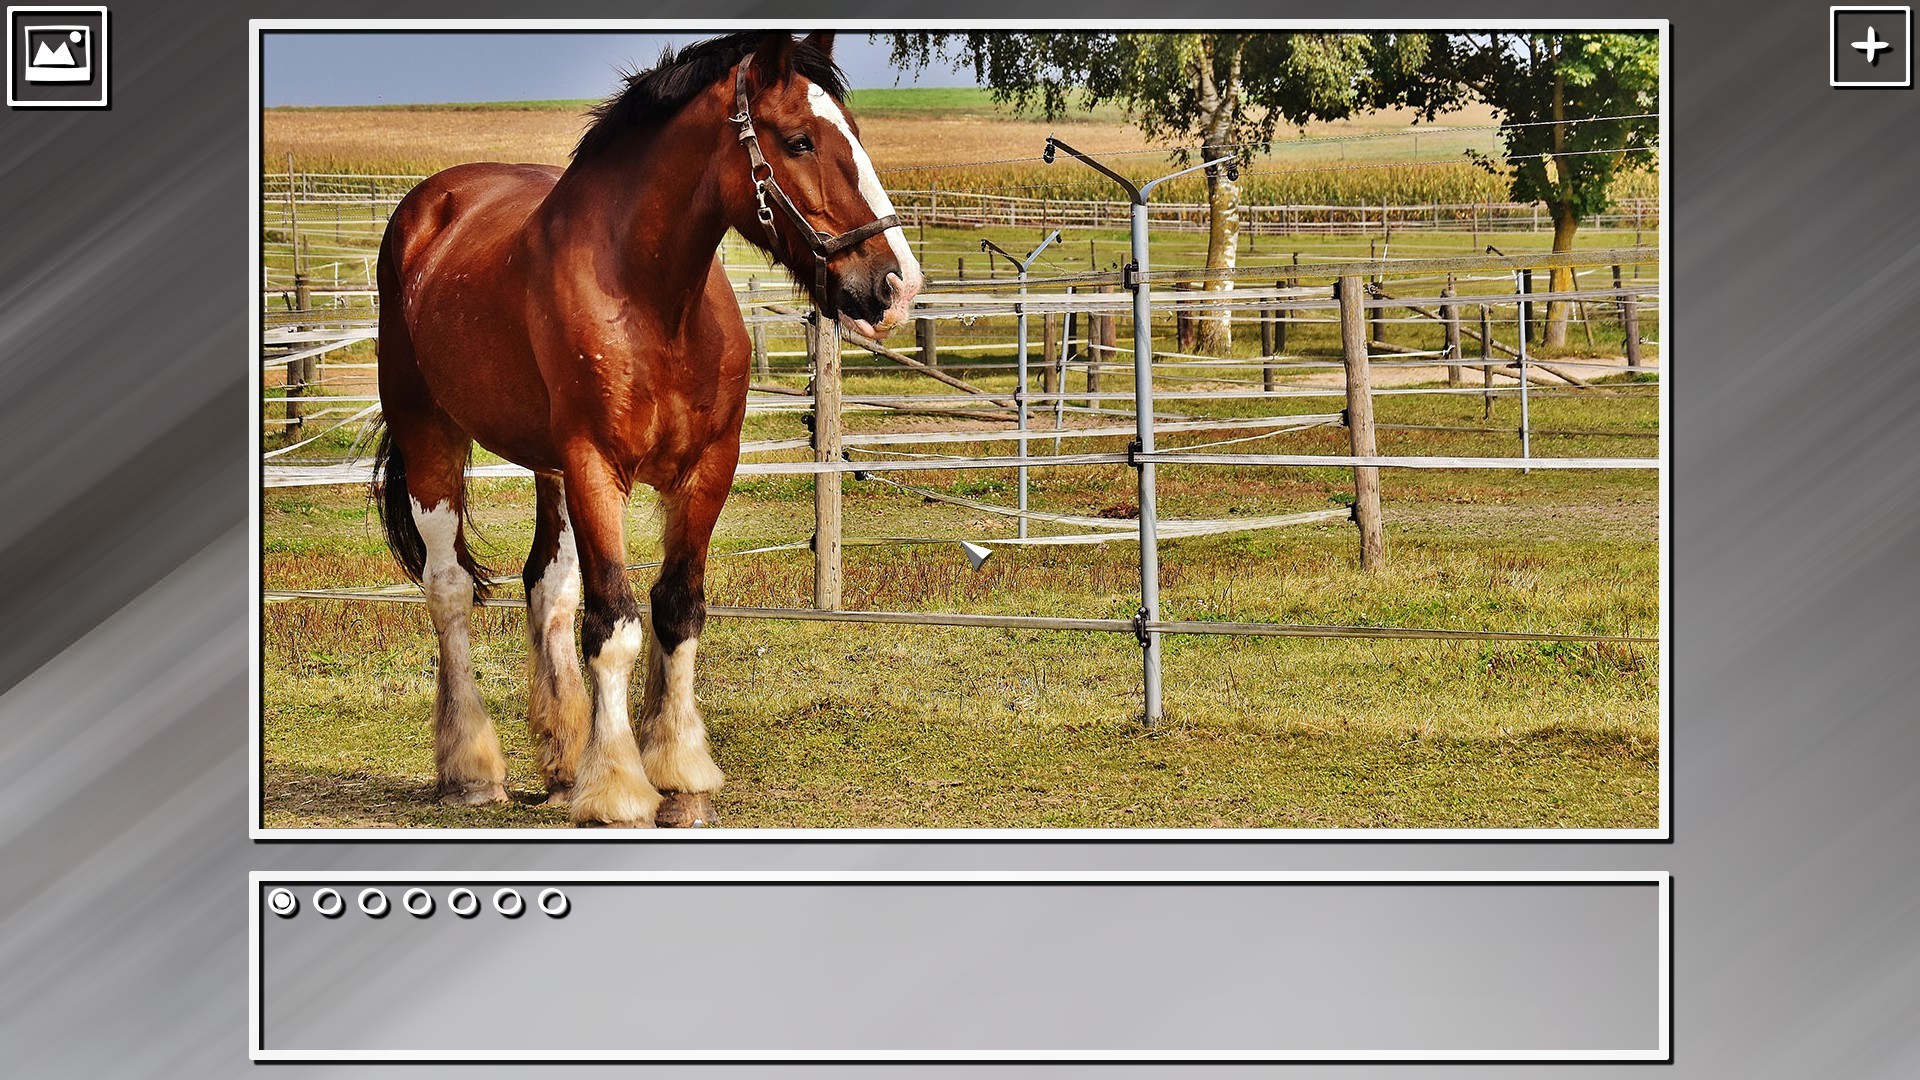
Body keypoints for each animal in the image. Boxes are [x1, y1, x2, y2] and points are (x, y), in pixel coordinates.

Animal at [369, 31, 922, 827]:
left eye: (855, 131)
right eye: (800, 140)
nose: (895, 285)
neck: (653, 301)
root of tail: (429, 207)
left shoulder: (706, 467)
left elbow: (676, 611)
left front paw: (679, 774)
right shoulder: (596, 465)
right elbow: (616, 625)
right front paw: (619, 787)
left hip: (548, 470)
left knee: (548, 588)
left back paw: (562, 763)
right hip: (431, 434)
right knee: (448, 589)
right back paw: (472, 768)